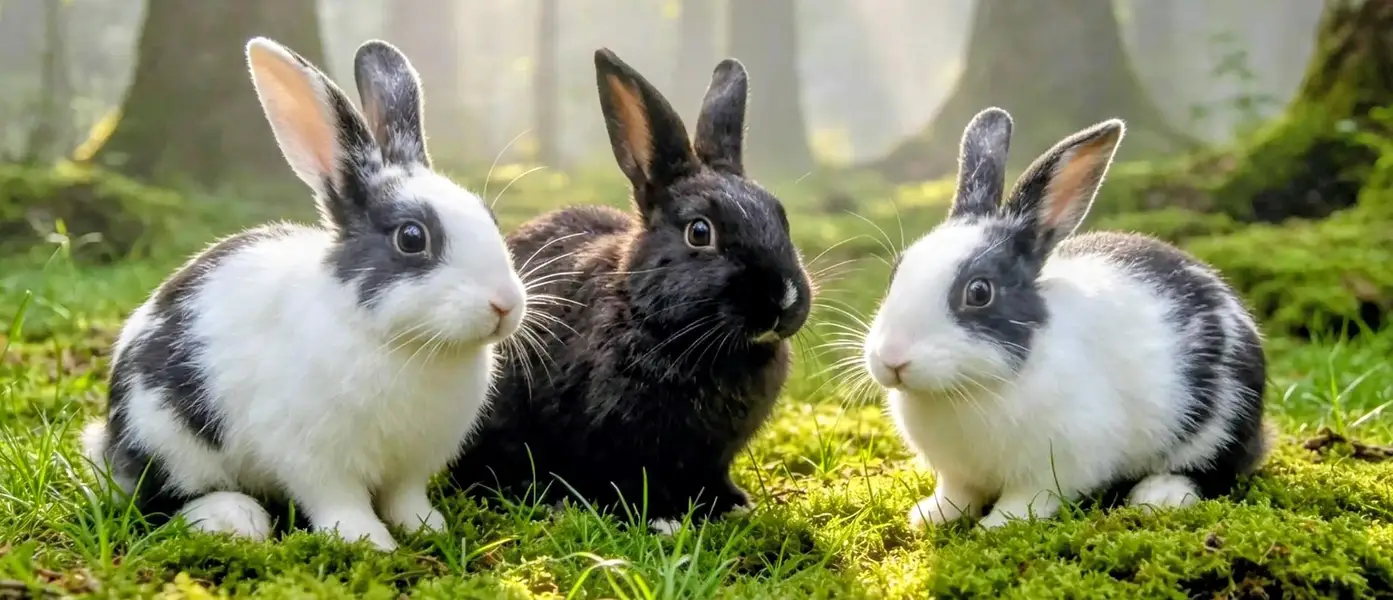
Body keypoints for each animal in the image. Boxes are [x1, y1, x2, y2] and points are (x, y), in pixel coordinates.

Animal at [79, 37, 526, 551]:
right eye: (412, 238)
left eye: (489, 217)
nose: (505, 305)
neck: (407, 344)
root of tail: (110, 441)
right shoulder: (314, 457)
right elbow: (339, 501)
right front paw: (369, 542)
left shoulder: (412, 464)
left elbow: (405, 497)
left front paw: (427, 528)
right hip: (165, 437)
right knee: (157, 499)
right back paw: (233, 518)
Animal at [447, 48, 812, 531]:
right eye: (700, 232)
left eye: (781, 217)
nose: (784, 300)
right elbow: (631, 479)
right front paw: (662, 519)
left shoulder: (712, 458)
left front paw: (732, 504)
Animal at [862, 107, 1269, 531]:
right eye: (896, 271)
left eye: (979, 292)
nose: (891, 360)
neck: (967, 388)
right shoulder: (957, 474)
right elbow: (957, 494)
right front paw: (930, 517)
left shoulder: (1056, 465)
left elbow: (1029, 499)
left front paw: (996, 526)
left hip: (1221, 422)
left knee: (1220, 467)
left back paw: (1159, 495)